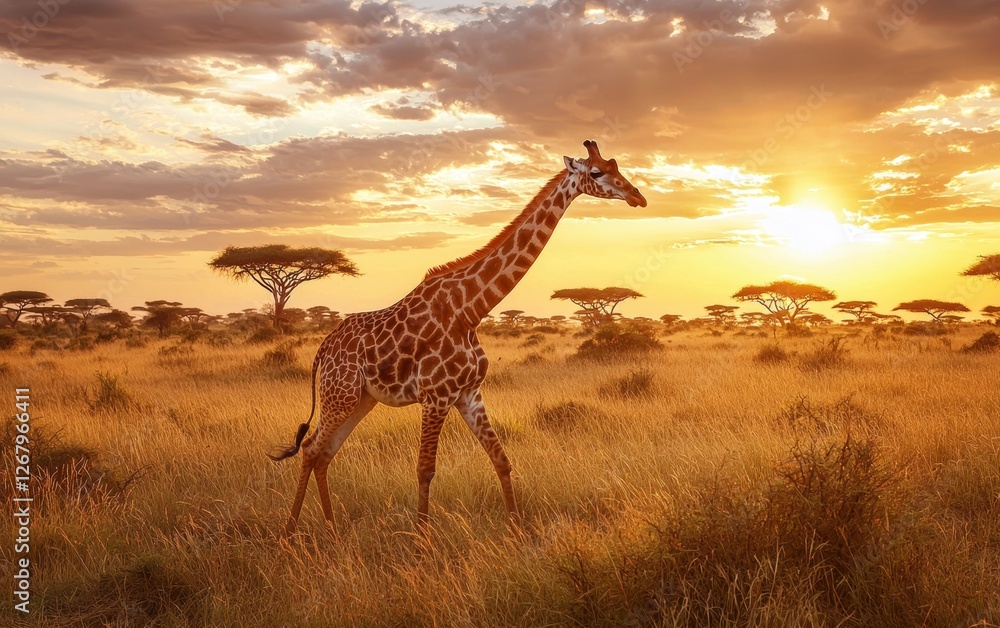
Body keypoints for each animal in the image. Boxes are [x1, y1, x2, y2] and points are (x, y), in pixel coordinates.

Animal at [269, 140, 647, 534]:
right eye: (597, 172)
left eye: (616, 164)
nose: (638, 196)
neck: (471, 309)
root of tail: (323, 349)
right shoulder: (436, 396)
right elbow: (425, 469)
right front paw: (421, 538)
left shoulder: (469, 394)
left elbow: (501, 459)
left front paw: (517, 529)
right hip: (339, 396)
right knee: (311, 449)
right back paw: (290, 531)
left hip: (360, 399)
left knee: (325, 452)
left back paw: (331, 528)